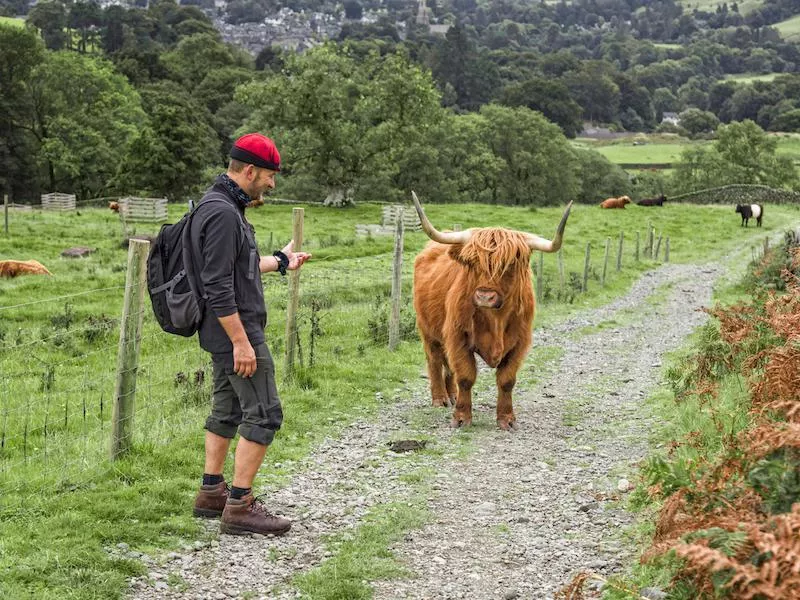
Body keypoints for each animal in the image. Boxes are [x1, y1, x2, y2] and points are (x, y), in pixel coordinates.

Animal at [410, 192, 572, 432]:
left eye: (509, 264)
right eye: (473, 263)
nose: (485, 296)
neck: (495, 319)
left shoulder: (519, 342)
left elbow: (507, 380)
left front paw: (506, 419)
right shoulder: (458, 337)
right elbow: (465, 376)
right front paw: (461, 418)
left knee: (447, 366)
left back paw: (452, 395)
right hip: (428, 331)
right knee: (435, 360)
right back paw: (440, 398)